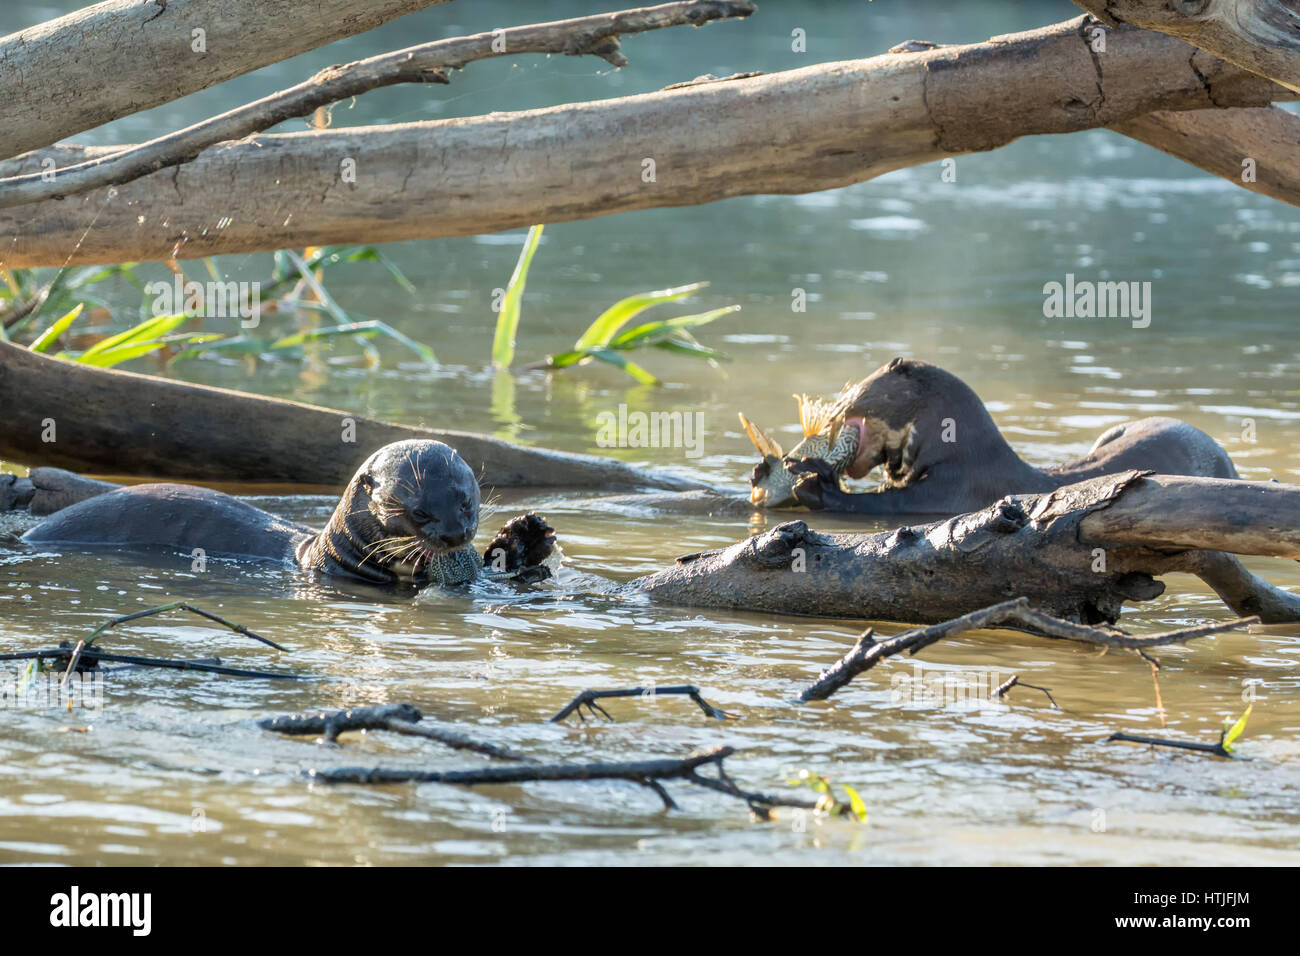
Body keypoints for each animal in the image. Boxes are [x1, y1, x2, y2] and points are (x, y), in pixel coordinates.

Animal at [750, 357, 1238, 514]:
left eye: (850, 390)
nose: (833, 409)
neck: (961, 452)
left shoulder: (954, 491)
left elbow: (882, 503)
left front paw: (812, 476)